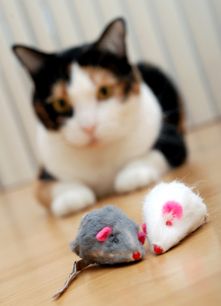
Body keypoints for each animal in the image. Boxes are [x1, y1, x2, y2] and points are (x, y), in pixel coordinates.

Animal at [12, 17, 186, 218]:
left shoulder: (173, 141)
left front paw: (133, 174)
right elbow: (45, 187)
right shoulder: (44, 172)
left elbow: (153, 153)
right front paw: (71, 196)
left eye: (104, 91)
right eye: (60, 104)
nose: (88, 126)